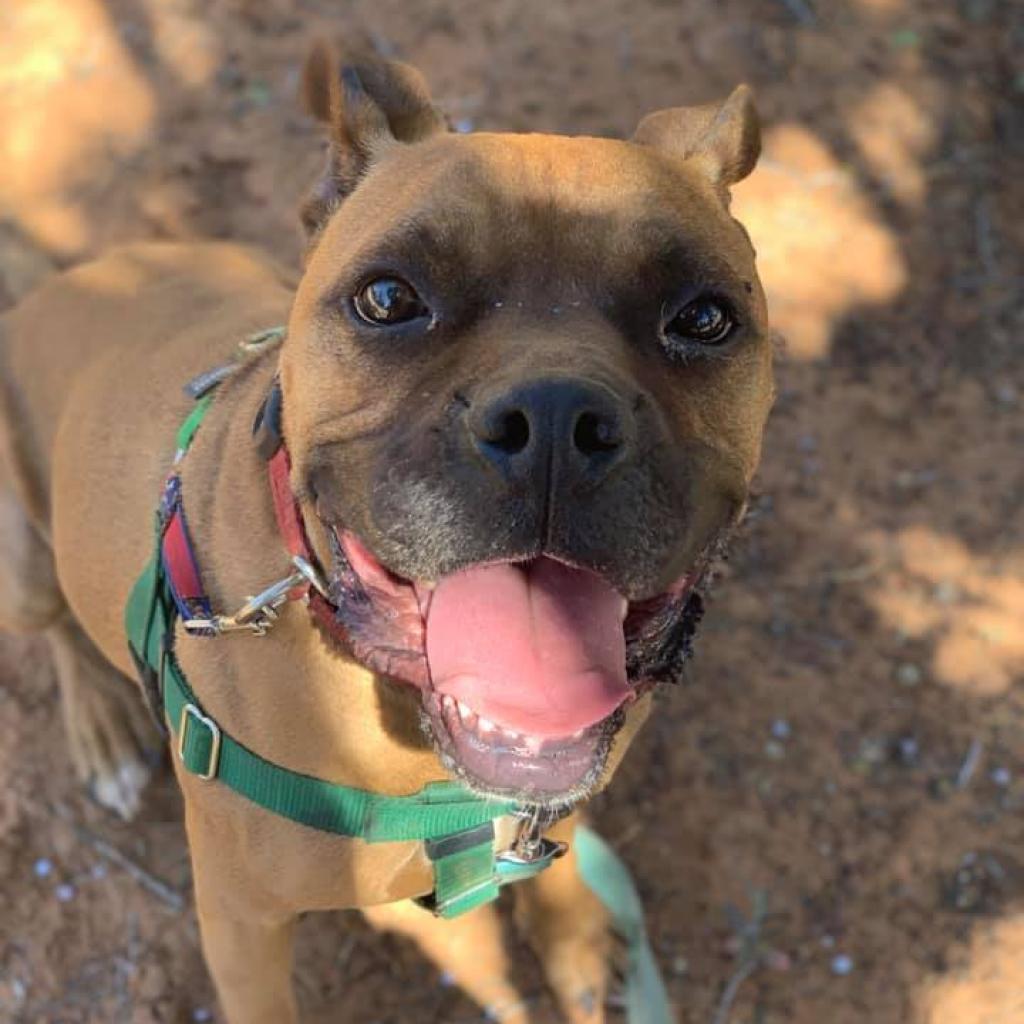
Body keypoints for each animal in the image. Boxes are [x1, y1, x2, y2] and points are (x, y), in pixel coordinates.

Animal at [0, 41, 770, 1024]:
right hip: (23, 563)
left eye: (703, 317)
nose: (555, 420)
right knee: (55, 629)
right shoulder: (242, 927)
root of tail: (55, 286)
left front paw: (577, 935)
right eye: (388, 298)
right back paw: (99, 730)